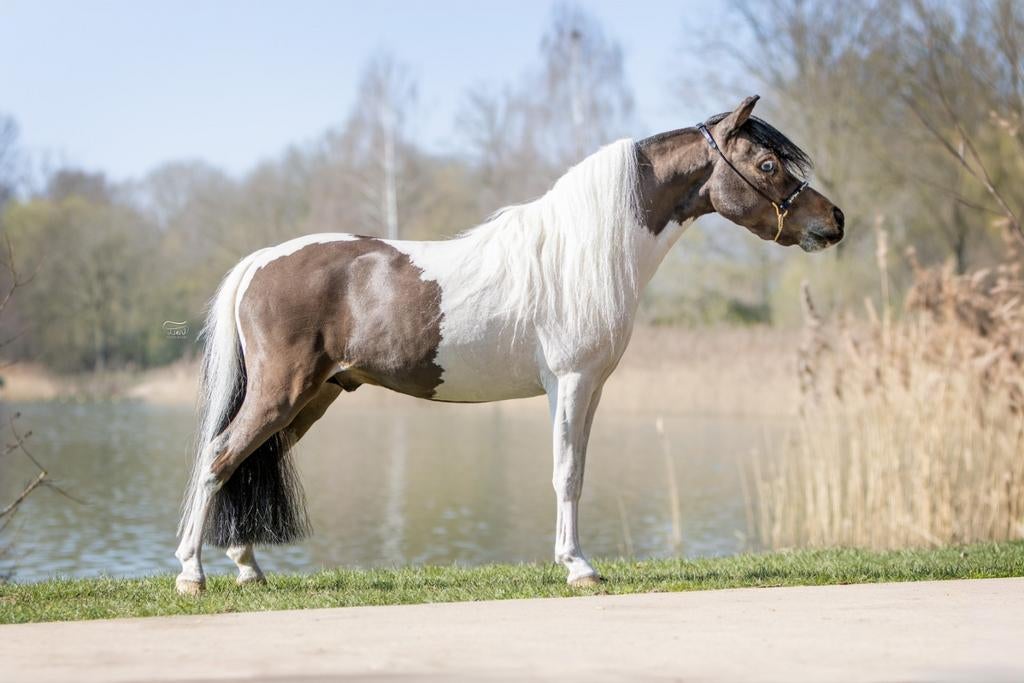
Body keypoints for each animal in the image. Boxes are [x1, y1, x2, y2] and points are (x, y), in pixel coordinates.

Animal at [175, 95, 845, 594]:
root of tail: (264, 260)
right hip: (282, 392)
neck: (586, 250)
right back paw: (191, 575)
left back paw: (247, 568)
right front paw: (579, 567)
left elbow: (576, 471)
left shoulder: (588, 388)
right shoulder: (569, 382)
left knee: (245, 460)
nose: (834, 221)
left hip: (314, 397)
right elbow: (566, 472)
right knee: (218, 456)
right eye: (766, 165)